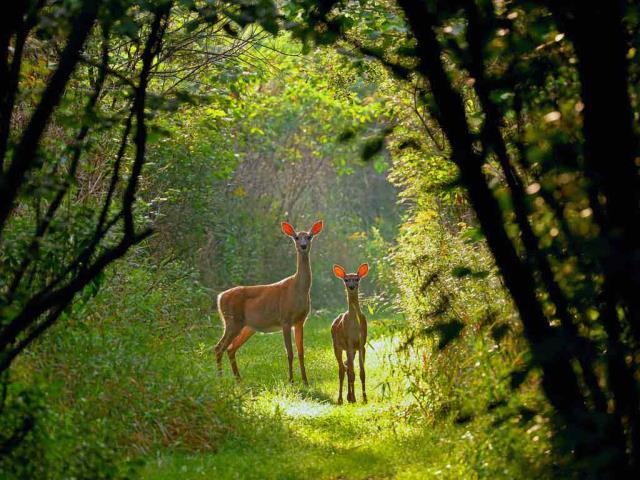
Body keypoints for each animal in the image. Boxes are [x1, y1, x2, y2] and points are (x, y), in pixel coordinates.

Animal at [214, 220, 323, 385]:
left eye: (309, 236)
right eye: (296, 237)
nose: (303, 246)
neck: (298, 290)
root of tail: (220, 297)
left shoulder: (300, 321)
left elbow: (301, 352)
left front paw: (305, 381)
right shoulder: (285, 318)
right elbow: (289, 352)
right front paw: (291, 381)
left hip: (247, 327)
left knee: (230, 348)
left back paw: (239, 380)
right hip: (232, 321)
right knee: (219, 347)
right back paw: (220, 380)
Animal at [331, 263, 369, 404]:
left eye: (357, 278)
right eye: (346, 279)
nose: (351, 287)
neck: (354, 326)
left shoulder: (361, 344)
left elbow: (362, 373)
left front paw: (364, 398)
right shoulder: (349, 343)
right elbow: (352, 373)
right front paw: (354, 398)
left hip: (351, 350)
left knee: (346, 365)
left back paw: (349, 396)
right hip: (336, 346)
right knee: (342, 369)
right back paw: (341, 398)